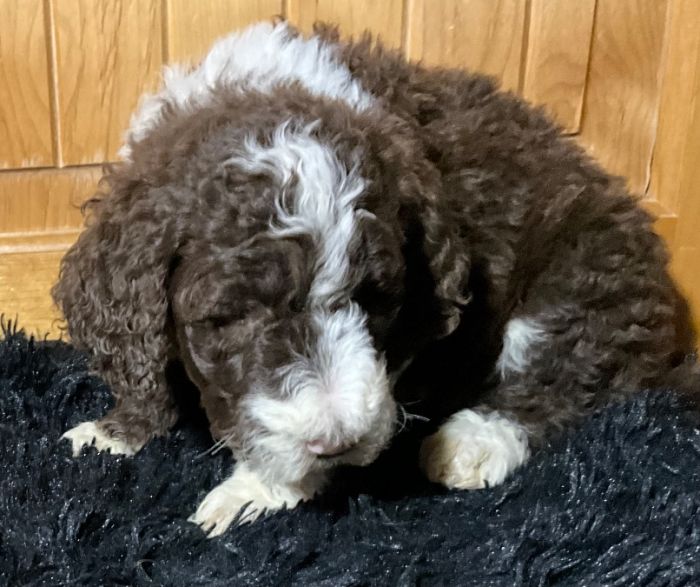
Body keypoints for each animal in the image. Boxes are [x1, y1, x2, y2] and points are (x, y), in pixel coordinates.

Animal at [54, 21, 696, 536]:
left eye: (376, 299)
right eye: (229, 318)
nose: (338, 440)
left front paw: (252, 492)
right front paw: (115, 432)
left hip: (580, 283)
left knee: (560, 376)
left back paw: (469, 442)